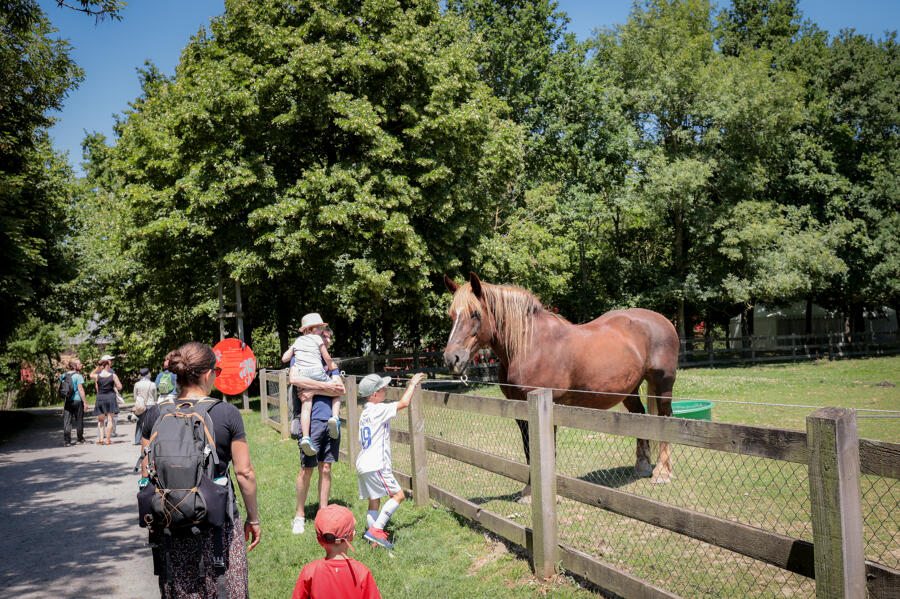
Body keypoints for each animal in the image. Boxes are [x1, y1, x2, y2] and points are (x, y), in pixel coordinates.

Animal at [442, 272, 680, 493]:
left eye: (475, 314)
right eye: (452, 316)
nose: (452, 359)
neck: (530, 345)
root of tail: (664, 321)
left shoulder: (547, 406)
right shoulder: (520, 410)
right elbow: (529, 450)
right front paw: (528, 491)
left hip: (663, 383)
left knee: (665, 417)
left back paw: (663, 472)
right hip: (629, 389)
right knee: (640, 415)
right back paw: (643, 467)